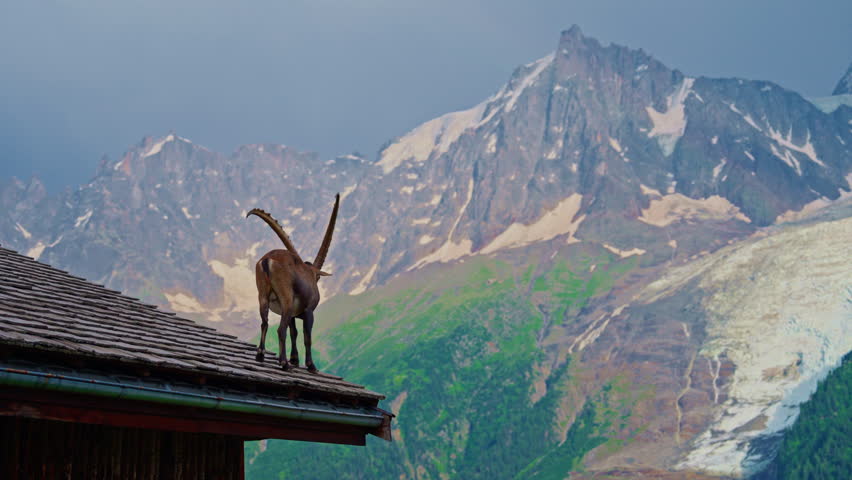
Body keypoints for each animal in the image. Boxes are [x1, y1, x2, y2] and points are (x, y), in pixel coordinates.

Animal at [247, 194, 339, 372]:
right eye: (316, 279)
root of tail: (267, 261)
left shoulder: (293, 315)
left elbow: (294, 332)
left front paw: (295, 359)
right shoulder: (308, 311)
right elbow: (306, 336)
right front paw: (310, 365)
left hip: (263, 295)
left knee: (264, 323)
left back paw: (260, 355)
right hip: (286, 298)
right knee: (280, 329)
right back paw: (283, 363)